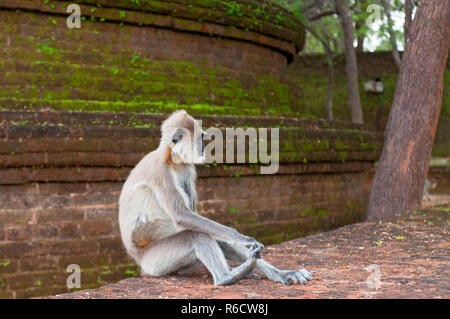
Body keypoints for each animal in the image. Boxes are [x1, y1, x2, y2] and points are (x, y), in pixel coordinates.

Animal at [118, 110, 312, 288]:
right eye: (200, 139)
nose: (204, 148)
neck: (172, 158)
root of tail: (140, 262)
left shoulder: (187, 168)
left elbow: (195, 217)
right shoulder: (160, 170)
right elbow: (182, 215)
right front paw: (242, 238)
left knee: (208, 234)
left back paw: (275, 273)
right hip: (155, 262)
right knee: (196, 234)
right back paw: (226, 277)